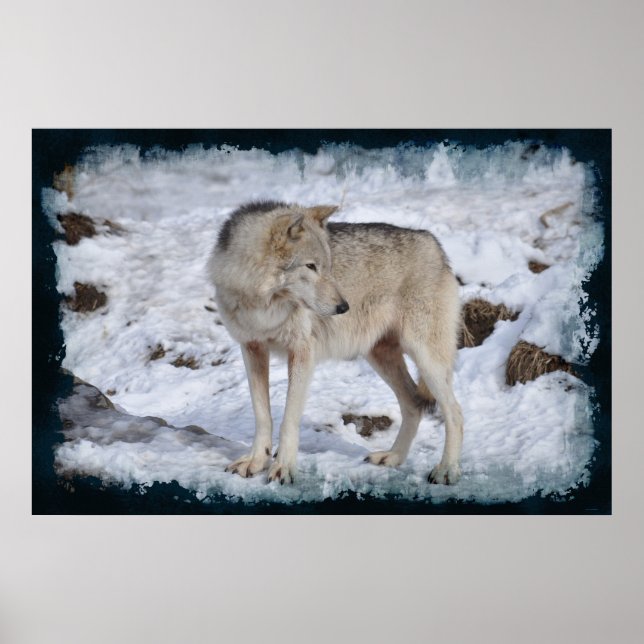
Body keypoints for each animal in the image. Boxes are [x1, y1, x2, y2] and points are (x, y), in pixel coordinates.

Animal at [208, 201, 463, 485]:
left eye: (328, 267)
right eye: (310, 266)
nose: (343, 307)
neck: (263, 304)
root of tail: (433, 241)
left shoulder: (302, 353)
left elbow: (288, 420)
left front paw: (283, 468)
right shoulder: (251, 349)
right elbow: (262, 416)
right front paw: (255, 461)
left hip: (426, 360)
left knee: (455, 412)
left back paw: (446, 470)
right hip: (380, 357)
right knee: (413, 404)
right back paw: (393, 457)